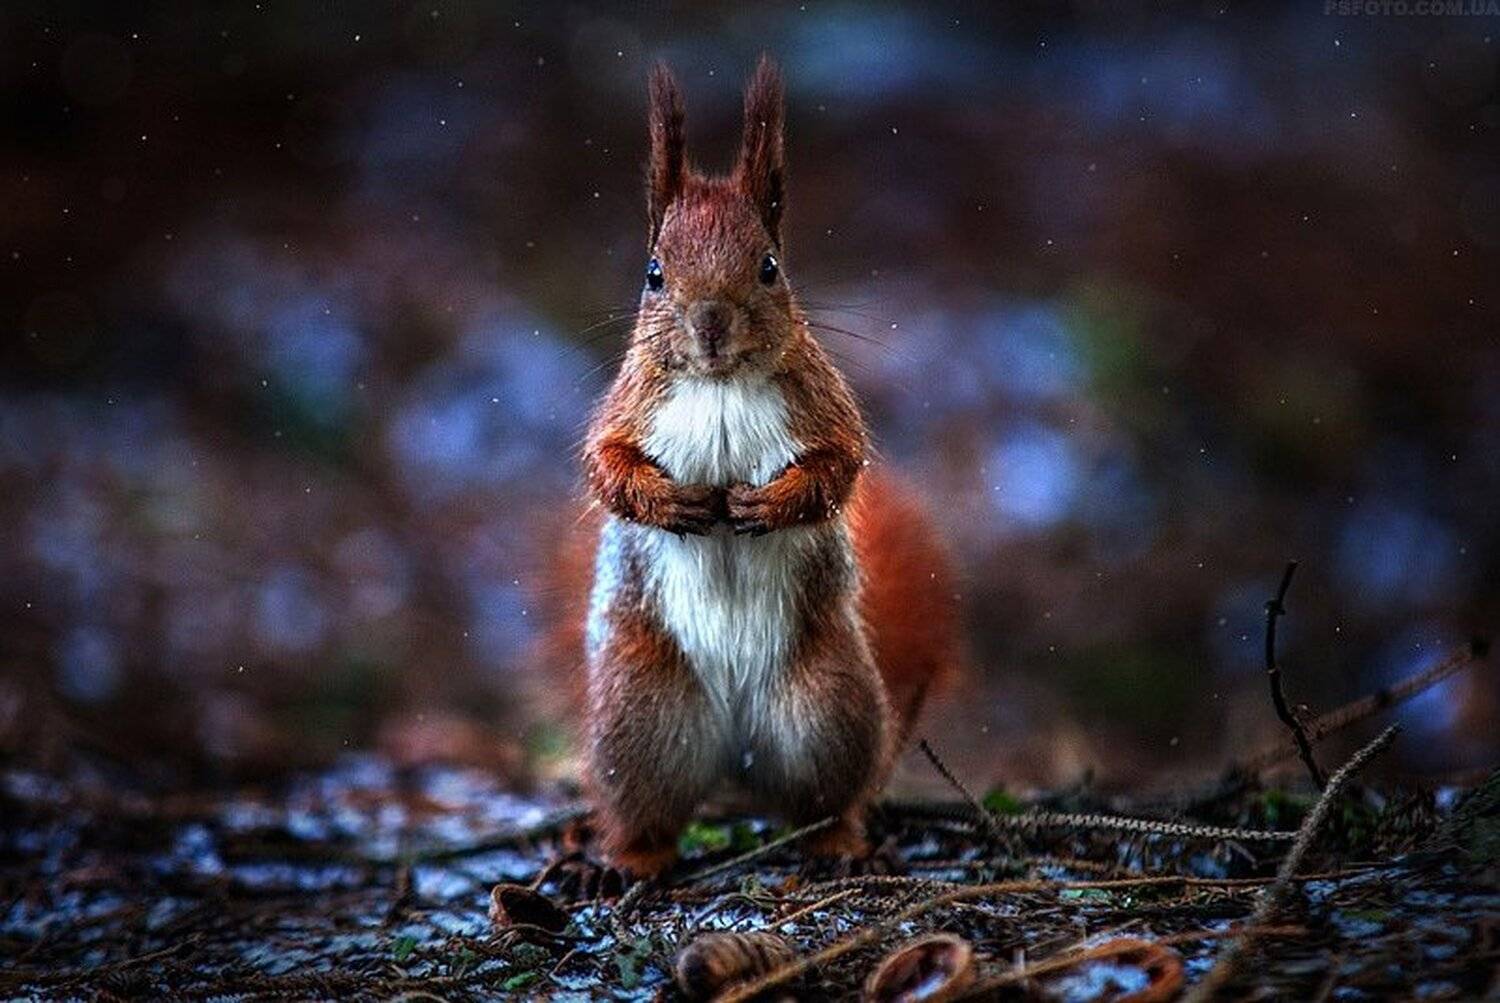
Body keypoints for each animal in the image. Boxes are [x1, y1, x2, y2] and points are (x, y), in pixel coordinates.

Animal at [551, 56, 962, 879]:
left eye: (770, 267)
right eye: (653, 272)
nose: (710, 324)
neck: (718, 383)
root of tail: (734, 753)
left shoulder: (822, 403)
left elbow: (840, 464)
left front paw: (766, 506)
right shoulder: (629, 404)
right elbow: (606, 466)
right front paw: (671, 503)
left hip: (826, 708)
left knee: (823, 798)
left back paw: (839, 842)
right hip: (639, 714)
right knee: (646, 806)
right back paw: (632, 858)